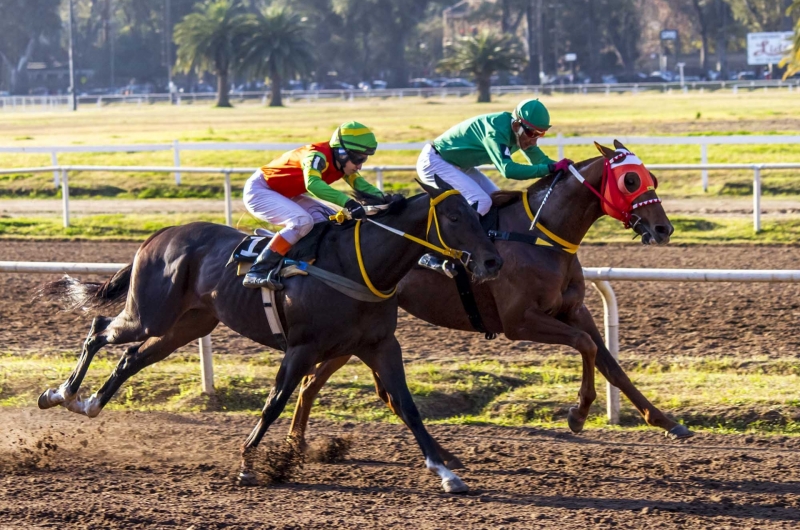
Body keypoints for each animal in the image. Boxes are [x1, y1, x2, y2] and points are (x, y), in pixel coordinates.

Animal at [39, 177, 500, 490]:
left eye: (479, 216)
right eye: (454, 216)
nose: (492, 261)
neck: (356, 265)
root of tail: (159, 234)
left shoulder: (379, 345)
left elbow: (407, 405)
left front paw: (445, 471)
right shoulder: (302, 348)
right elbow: (275, 402)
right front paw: (249, 463)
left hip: (188, 324)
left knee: (131, 358)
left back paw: (89, 403)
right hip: (151, 314)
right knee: (99, 331)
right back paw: (60, 394)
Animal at [290, 141, 692, 466]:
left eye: (652, 177)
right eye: (630, 181)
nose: (663, 229)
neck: (539, 236)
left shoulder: (573, 309)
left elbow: (611, 363)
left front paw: (666, 421)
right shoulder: (519, 321)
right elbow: (586, 346)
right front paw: (577, 414)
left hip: (357, 331)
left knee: (313, 380)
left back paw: (299, 443)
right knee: (319, 378)